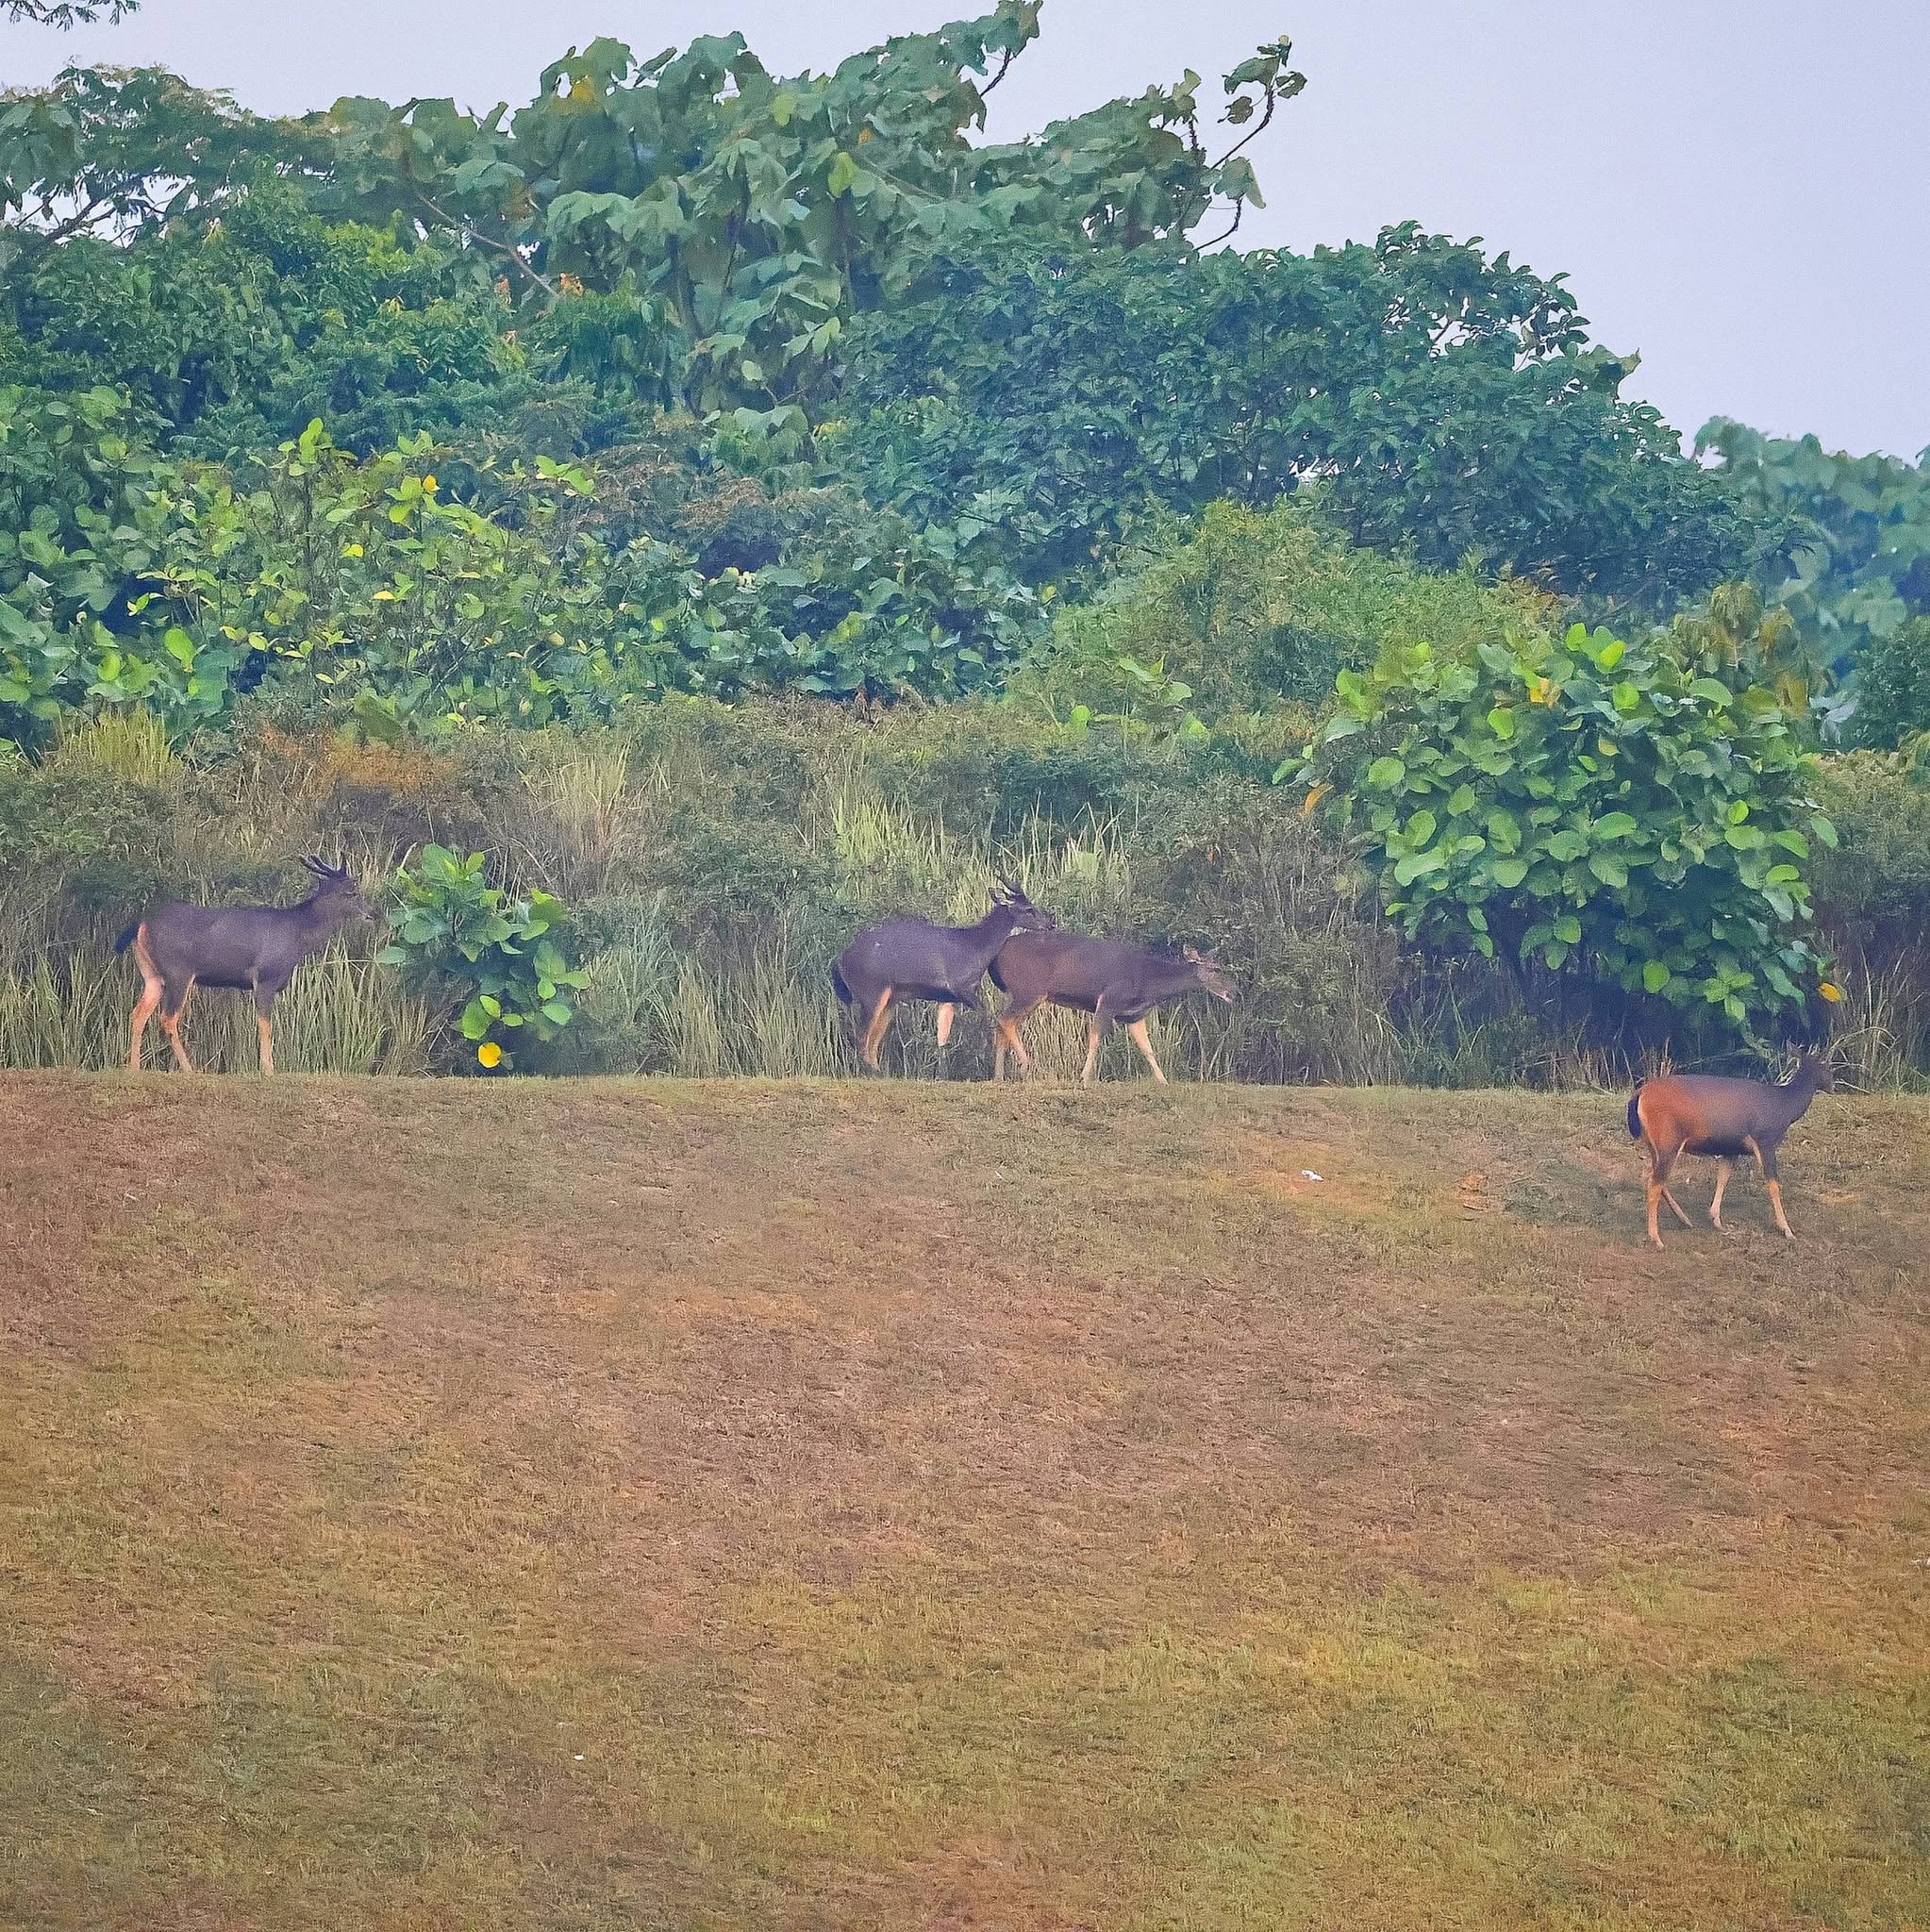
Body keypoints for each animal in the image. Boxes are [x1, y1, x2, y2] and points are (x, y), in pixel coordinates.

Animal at [116, 857, 375, 1074]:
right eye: (352, 892)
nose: (375, 913)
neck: (298, 936)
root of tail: (140, 923)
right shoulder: (266, 977)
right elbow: (265, 1024)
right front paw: (268, 1069)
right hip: (178, 970)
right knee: (168, 1017)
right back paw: (190, 1070)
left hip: (151, 974)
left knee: (138, 1013)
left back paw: (134, 1067)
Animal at [831, 881, 1055, 1072]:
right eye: (1029, 908)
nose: (1050, 924)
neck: (976, 946)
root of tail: (840, 960)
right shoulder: (961, 987)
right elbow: (990, 1019)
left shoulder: (947, 998)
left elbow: (942, 1039)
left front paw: (942, 1073)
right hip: (871, 990)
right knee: (861, 1037)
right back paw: (869, 1072)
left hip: (890, 999)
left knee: (873, 1039)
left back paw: (878, 1071)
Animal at [987, 931, 1236, 1084]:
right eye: (1215, 969)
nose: (1233, 993)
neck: (1147, 983)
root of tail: (996, 956)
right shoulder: (1108, 1000)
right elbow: (1095, 1039)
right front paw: (1084, 1077)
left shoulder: (1133, 1016)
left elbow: (1147, 1049)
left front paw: (1164, 1081)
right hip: (1030, 990)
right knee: (1004, 1020)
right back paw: (1028, 1066)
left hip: (1021, 993)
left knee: (1001, 1021)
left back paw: (999, 1075)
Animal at [1626, 1050, 1834, 1249]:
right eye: (1825, 1067)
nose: (1832, 1085)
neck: (1785, 1107)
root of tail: (1639, 1094)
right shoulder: (1765, 1140)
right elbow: (1774, 1185)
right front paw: (1787, 1230)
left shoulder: (1731, 1149)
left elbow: (1723, 1178)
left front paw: (1716, 1220)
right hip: (1669, 1140)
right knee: (1654, 1183)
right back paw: (1657, 1239)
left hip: (1655, 1143)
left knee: (1654, 1177)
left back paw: (1685, 1220)